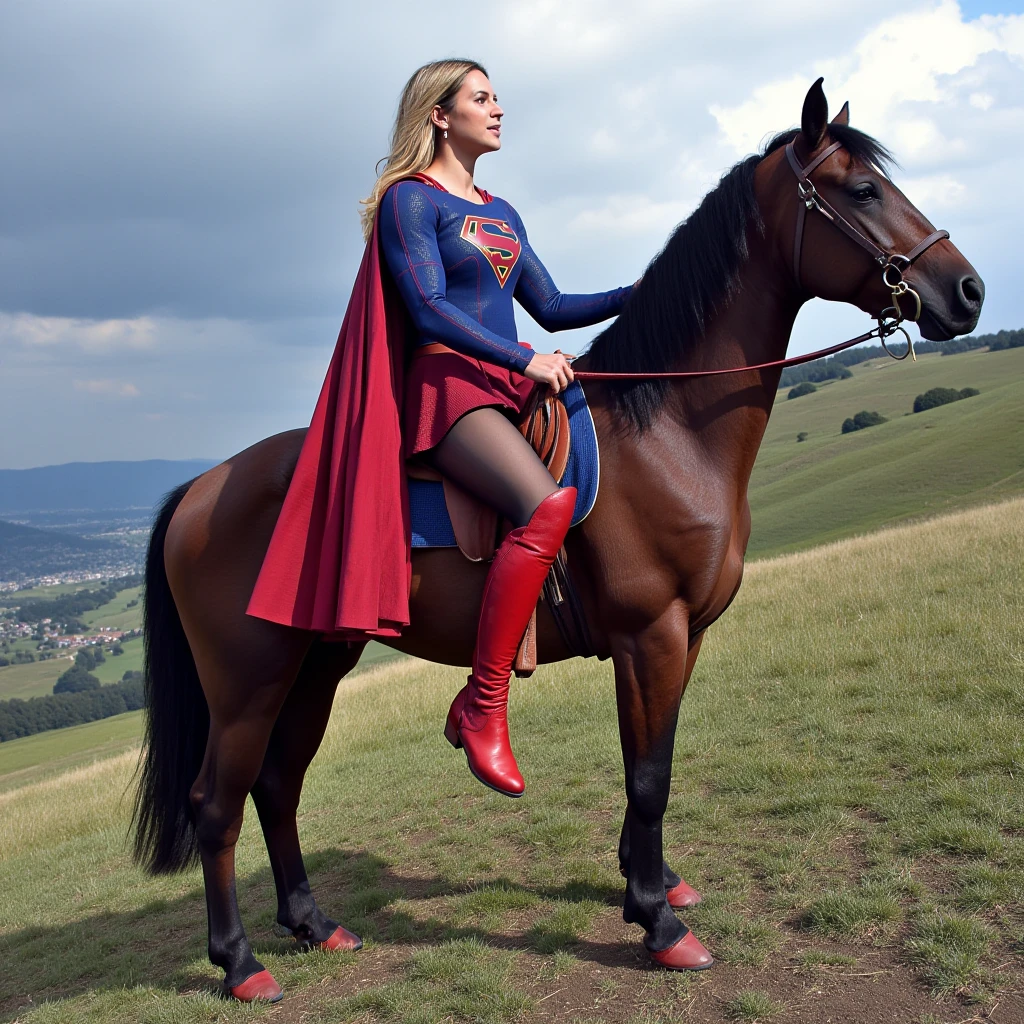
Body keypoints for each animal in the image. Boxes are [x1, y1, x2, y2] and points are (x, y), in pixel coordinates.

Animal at [130, 81, 983, 999]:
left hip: (318, 658)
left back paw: (314, 925)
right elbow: (648, 776)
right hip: (247, 678)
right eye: (862, 190)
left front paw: (651, 880)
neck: (669, 430)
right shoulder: (652, 636)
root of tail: (200, 491)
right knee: (217, 803)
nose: (967, 290)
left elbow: (654, 761)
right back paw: (240, 962)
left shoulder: (684, 638)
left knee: (278, 784)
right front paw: (658, 921)